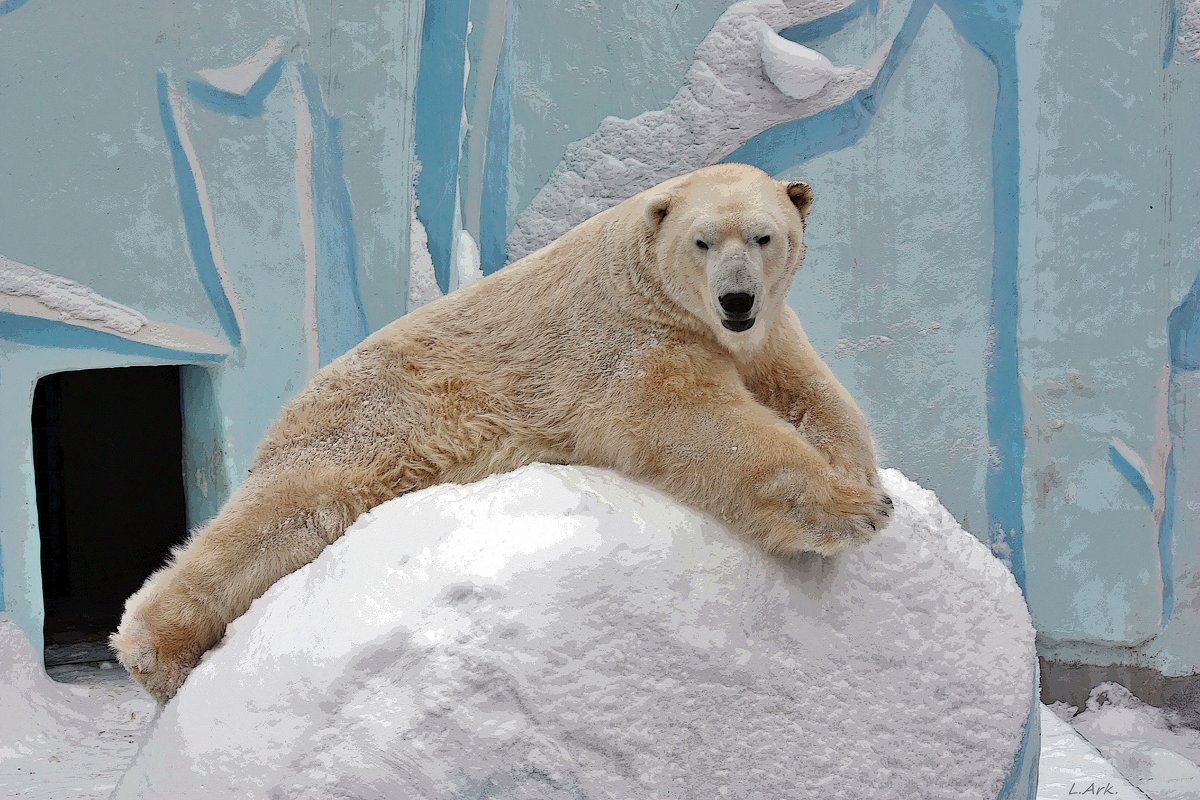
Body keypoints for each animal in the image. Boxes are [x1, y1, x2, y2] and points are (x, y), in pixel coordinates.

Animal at [114, 163, 892, 700]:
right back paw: (154, 650)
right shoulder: (627, 340)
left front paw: (863, 478)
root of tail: (298, 397)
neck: (649, 280)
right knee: (278, 519)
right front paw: (852, 510)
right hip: (360, 429)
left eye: (764, 236)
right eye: (702, 242)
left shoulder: (764, 332)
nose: (736, 298)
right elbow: (699, 423)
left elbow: (810, 391)